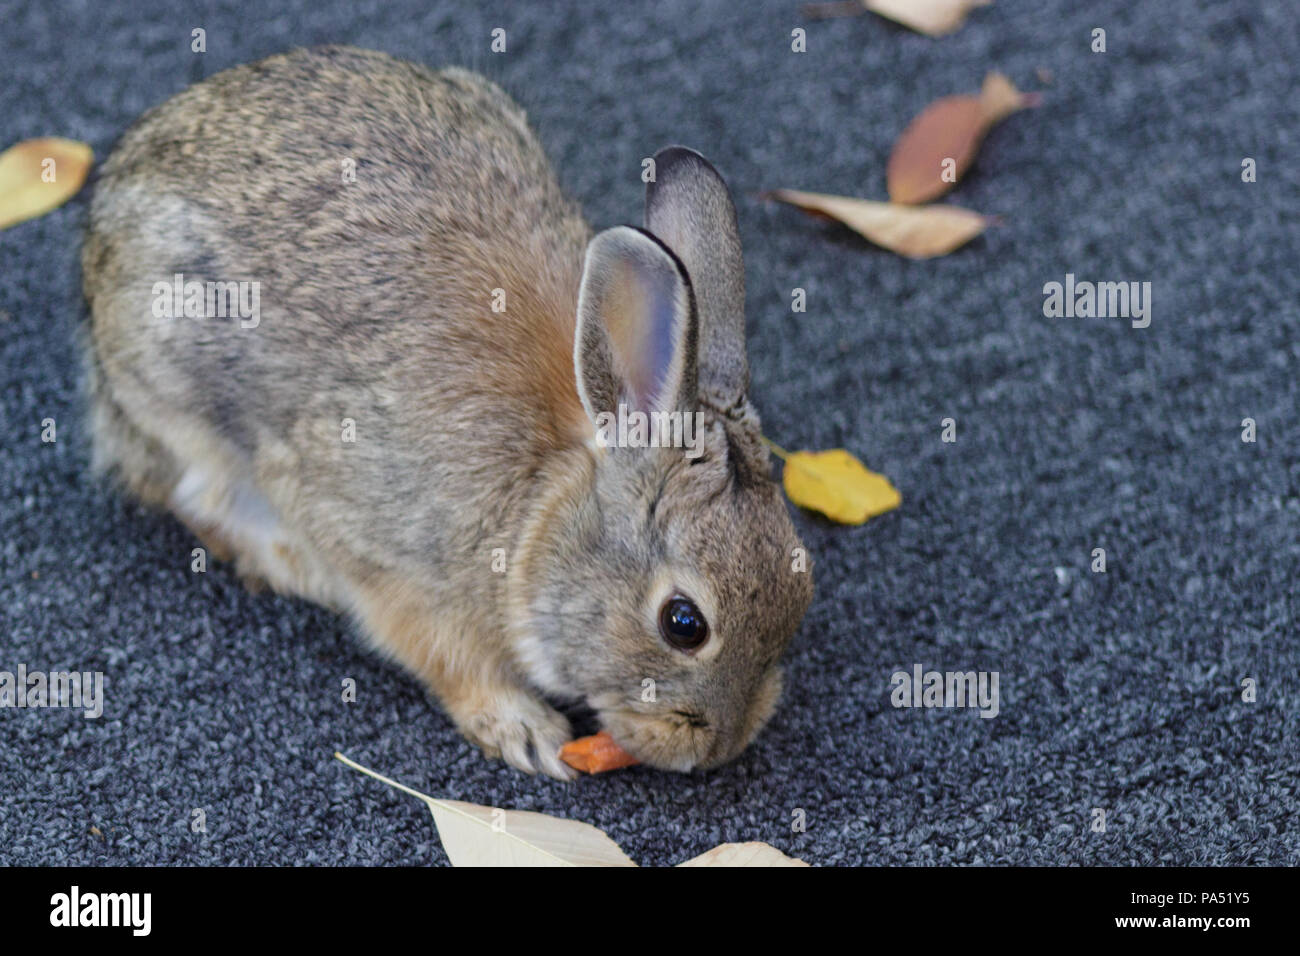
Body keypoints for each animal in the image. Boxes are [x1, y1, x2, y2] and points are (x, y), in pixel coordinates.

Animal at [81, 44, 811, 780]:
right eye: (683, 623)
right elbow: (444, 653)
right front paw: (524, 730)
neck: (543, 506)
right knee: (197, 498)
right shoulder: (394, 559)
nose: (718, 746)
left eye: (802, 583)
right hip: (179, 391)